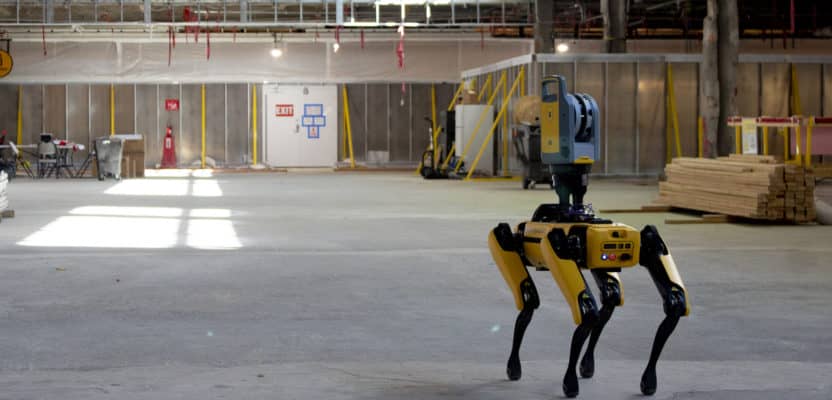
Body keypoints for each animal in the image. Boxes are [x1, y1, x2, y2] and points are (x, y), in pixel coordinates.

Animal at [488, 75, 688, 396]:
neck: (578, 221)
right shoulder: (558, 242)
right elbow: (585, 309)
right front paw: (568, 383)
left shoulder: (644, 243)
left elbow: (675, 301)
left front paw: (648, 379)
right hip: (510, 239)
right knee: (530, 297)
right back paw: (516, 365)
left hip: (604, 261)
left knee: (612, 295)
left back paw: (587, 364)